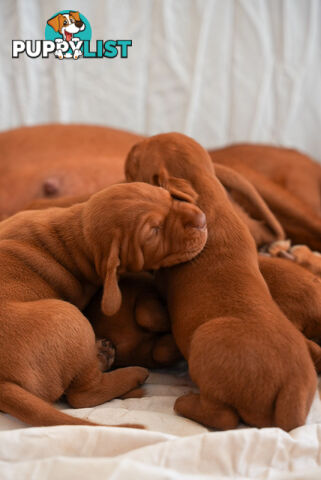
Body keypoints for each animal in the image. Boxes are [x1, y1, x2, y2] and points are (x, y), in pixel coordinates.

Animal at [0, 181, 206, 428]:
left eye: (169, 197)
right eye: (154, 231)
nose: (202, 220)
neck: (74, 236)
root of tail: (2, 383)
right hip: (71, 318)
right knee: (83, 395)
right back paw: (130, 372)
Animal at [125, 134, 316, 432]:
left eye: (135, 159)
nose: (129, 147)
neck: (205, 191)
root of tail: (291, 393)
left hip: (204, 348)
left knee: (223, 417)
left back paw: (186, 404)